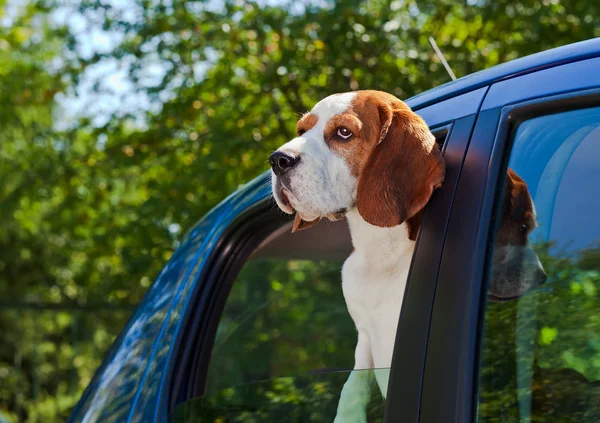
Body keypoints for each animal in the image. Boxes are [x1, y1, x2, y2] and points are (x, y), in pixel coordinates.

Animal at [270, 91, 548, 422]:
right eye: (301, 131)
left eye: (343, 132)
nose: (277, 160)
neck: (380, 255)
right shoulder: (365, 337)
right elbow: (352, 386)